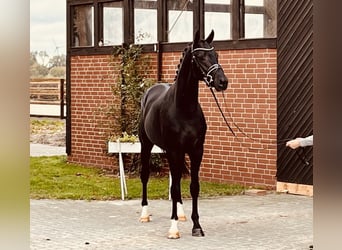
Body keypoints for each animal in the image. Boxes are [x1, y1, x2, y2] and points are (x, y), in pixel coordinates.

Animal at [138, 30, 228, 239]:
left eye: (216, 55)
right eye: (200, 56)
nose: (222, 82)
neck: (184, 109)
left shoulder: (196, 151)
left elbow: (192, 187)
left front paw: (197, 226)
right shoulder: (174, 151)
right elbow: (175, 187)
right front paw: (173, 229)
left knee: (176, 180)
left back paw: (180, 213)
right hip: (146, 144)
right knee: (145, 175)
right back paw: (145, 213)